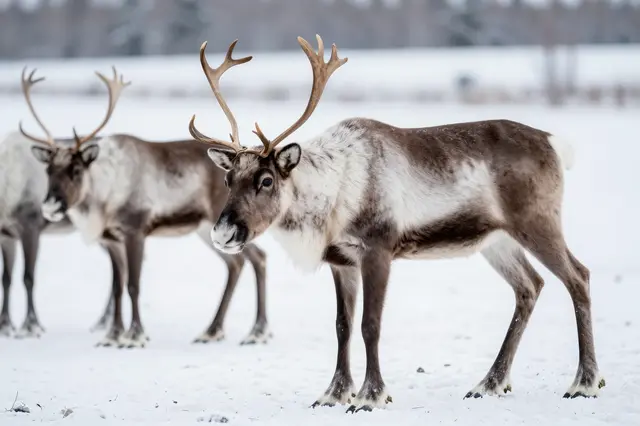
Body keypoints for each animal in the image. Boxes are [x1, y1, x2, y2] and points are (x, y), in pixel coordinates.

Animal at [19, 59, 271, 348]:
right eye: (48, 170)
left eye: (76, 169)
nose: (49, 206)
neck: (104, 196)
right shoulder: (111, 240)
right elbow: (117, 287)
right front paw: (112, 335)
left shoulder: (135, 231)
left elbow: (133, 285)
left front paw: (135, 335)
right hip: (209, 231)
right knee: (236, 264)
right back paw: (212, 330)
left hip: (229, 226)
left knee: (258, 258)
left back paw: (257, 331)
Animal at [188, 34, 605, 412]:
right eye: (229, 179)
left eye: (266, 180)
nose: (223, 232)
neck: (332, 194)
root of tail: (553, 143)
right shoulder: (341, 260)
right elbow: (342, 326)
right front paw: (334, 392)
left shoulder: (378, 249)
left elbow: (370, 324)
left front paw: (371, 396)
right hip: (497, 241)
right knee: (530, 286)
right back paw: (489, 383)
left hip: (537, 222)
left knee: (578, 276)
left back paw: (584, 382)